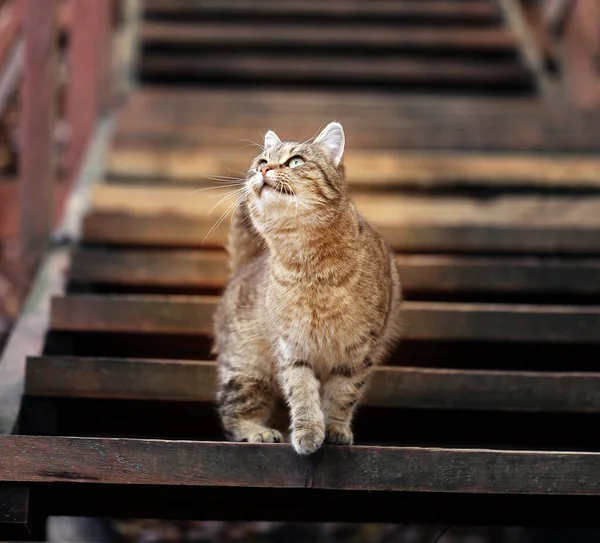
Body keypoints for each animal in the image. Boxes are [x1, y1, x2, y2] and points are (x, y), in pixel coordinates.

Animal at [212, 122, 404, 454]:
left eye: (295, 161)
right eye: (262, 162)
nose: (264, 170)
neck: (308, 263)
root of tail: (244, 266)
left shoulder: (359, 349)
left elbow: (342, 395)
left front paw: (335, 430)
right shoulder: (292, 347)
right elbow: (302, 393)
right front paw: (309, 432)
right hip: (247, 369)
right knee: (232, 413)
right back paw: (257, 431)